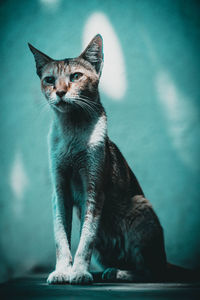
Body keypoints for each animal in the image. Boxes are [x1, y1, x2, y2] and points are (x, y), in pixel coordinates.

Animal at [28, 34, 168, 284]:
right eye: (49, 80)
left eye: (75, 76)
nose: (60, 92)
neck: (73, 135)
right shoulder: (59, 190)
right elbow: (61, 238)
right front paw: (62, 271)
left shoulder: (93, 189)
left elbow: (86, 238)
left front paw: (78, 273)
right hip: (105, 249)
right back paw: (107, 270)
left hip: (140, 210)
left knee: (151, 272)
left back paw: (116, 273)